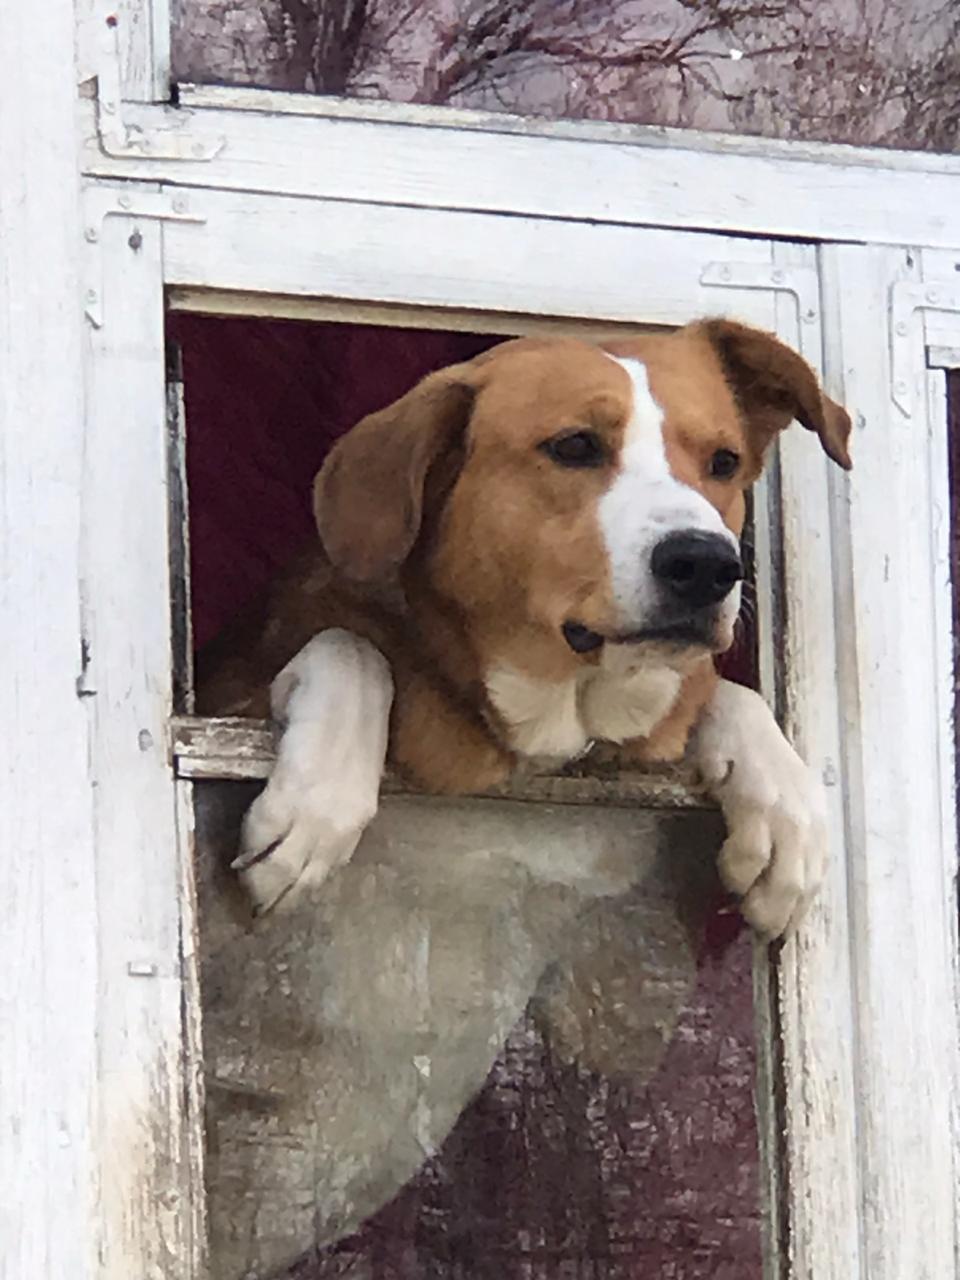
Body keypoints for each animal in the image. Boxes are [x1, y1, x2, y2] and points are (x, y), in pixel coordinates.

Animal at [199, 320, 855, 942]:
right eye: (575, 446)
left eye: (724, 462)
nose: (706, 564)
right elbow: (351, 646)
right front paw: (316, 804)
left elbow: (725, 693)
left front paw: (785, 806)